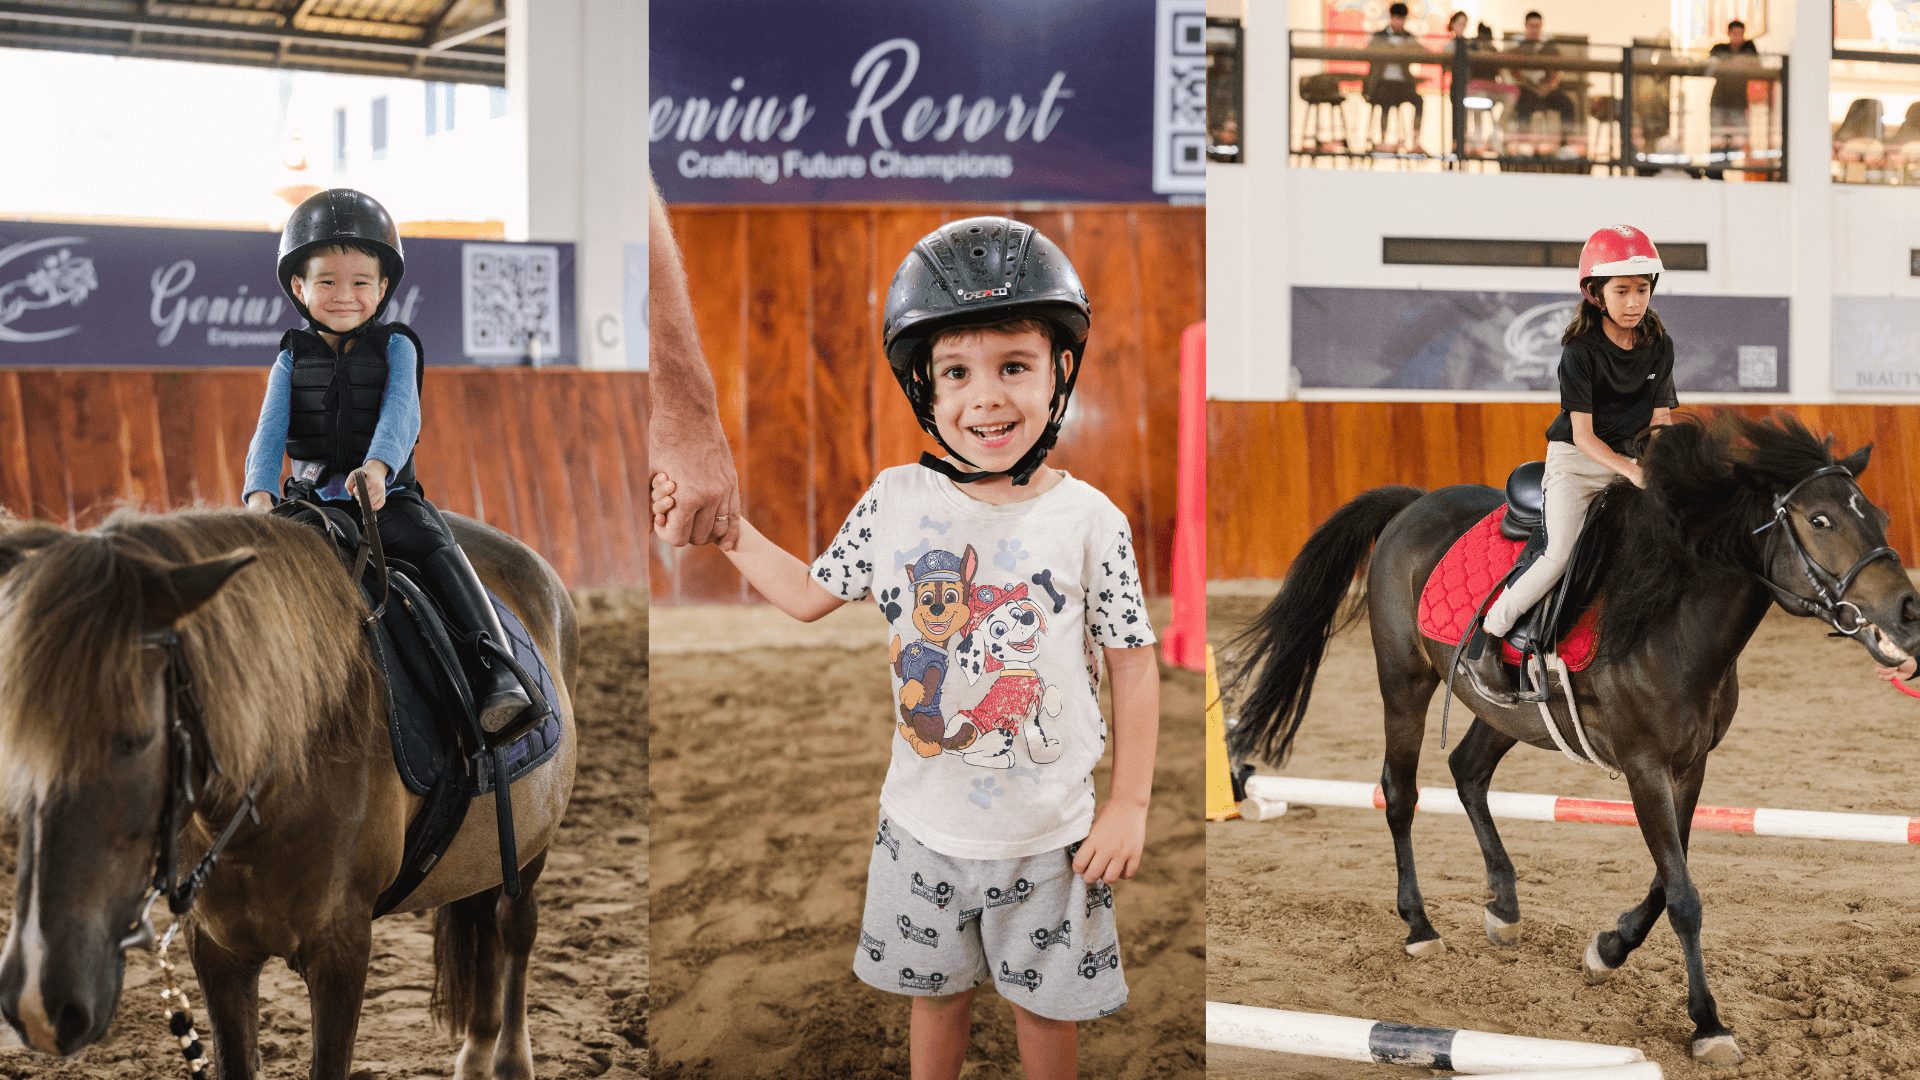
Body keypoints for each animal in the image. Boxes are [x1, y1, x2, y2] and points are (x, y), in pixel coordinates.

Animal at [0, 507, 576, 1076]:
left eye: (133, 738)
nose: (38, 1002)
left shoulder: (341, 948)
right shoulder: (216, 950)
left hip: (533, 845)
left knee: (513, 927)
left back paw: (509, 1058)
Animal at [1221, 413, 1920, 1060]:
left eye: (1879, 515)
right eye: (1821, 520)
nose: (1908, 613)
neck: (1672, 620)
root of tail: (1414, 503)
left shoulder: (1689, 766)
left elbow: (1668, 879)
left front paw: (1609, 949)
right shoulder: (1644, 767)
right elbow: (1683, 894)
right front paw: (1708, 1024)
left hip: (1508, 713)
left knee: (1468, 770)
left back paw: (1503, 907)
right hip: (1403, 682)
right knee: (1400, 792)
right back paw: (1419, 925)